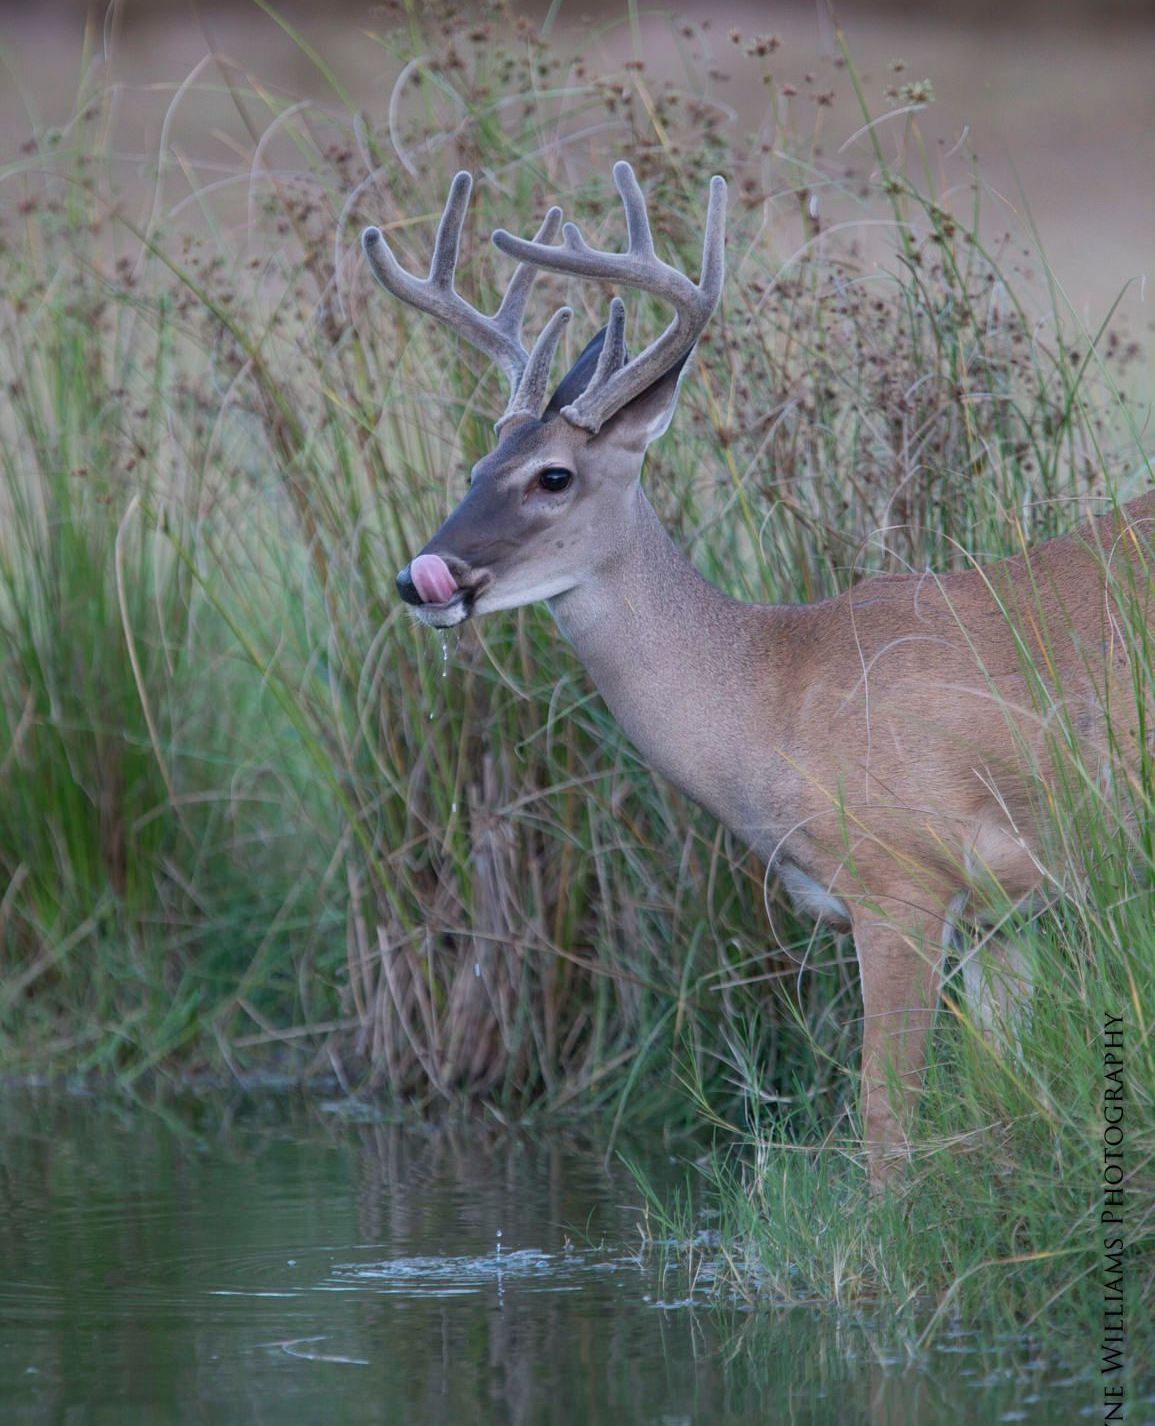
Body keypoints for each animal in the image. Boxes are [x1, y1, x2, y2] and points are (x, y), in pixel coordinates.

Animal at [361, 161, 1154, 1187]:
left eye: (551, 476)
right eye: (472, 466)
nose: (425, 578)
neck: (772, 698)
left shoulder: (904, 880)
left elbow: (885, 1127)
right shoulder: (1000, 915)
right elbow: (1000, 1107)